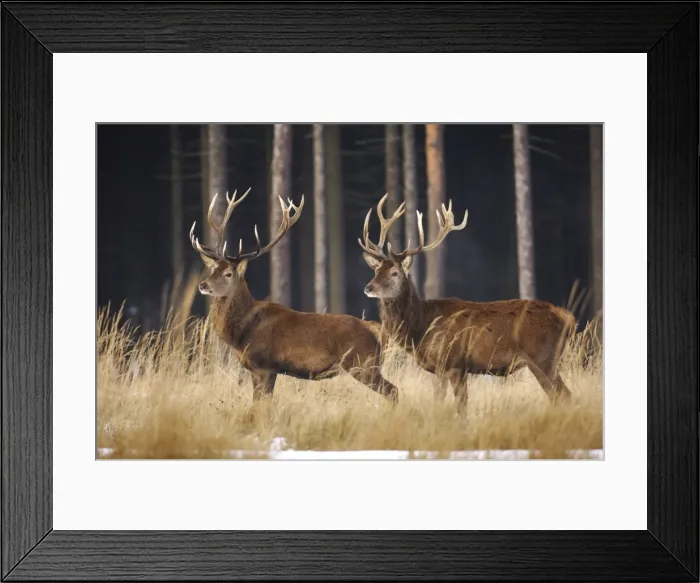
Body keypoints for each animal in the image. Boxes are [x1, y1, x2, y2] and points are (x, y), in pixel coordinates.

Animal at [189, 188, 400, 404]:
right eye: (213, 269)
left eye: (228, 274)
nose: (203, 285)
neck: (242, 333)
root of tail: (374, 328)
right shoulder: (255, 369)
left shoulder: (265, 366)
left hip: (363, 364)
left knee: (393, 390)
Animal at [358, 194, 576, 412]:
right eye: (376, 270)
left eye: (394, 273)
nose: (368, 288)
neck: (422, 328)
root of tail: (568, 318)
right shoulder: (442, 370)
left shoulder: (454, 363)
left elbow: (459, 405)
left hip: (543, 358)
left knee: (564, 395)